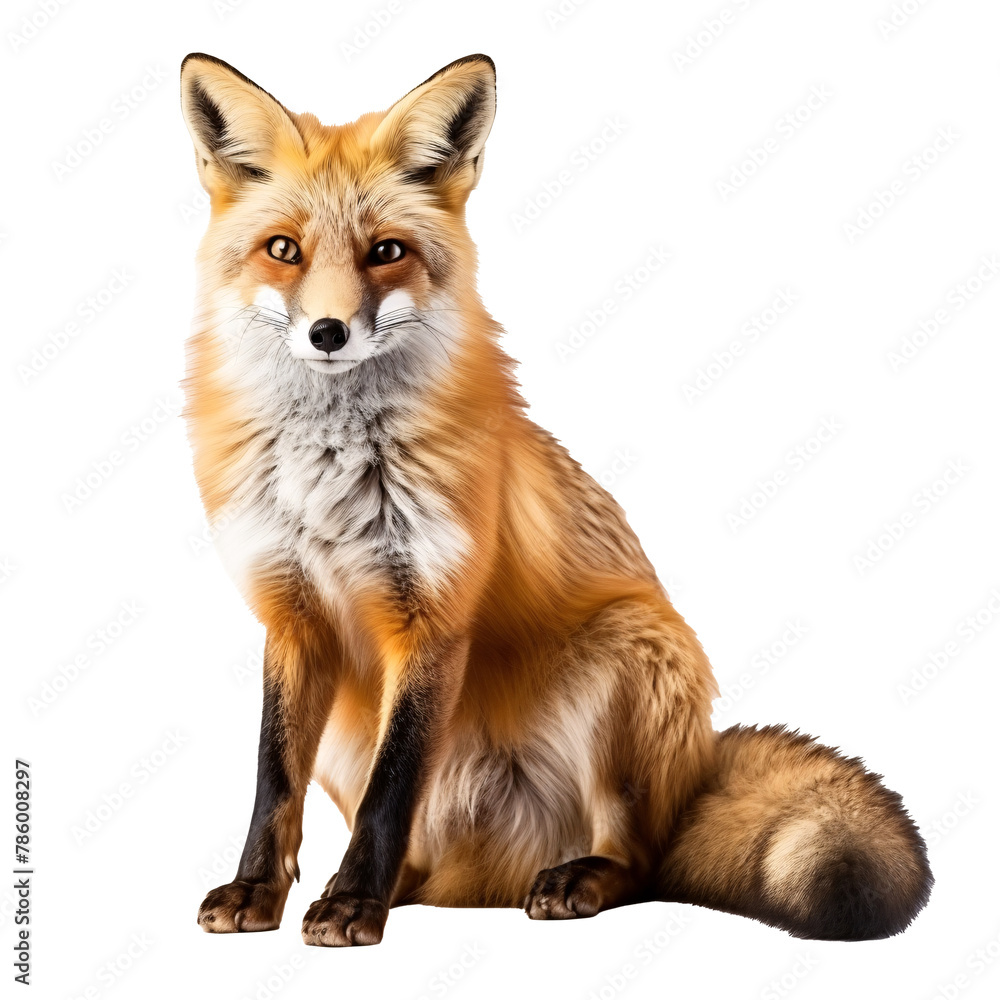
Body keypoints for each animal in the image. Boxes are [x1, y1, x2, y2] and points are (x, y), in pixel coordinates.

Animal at [180, 52, 932, 948]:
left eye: (386, 251)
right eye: (283, 250)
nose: (328, 333)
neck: (329, 471)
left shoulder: (433, 616)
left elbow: (389, 793)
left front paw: (354, 903)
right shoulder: (291, 616)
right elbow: (274, 782)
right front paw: (258, 890)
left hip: (628, 656)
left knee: (641, 860)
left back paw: (574, 877)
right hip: (356, 738)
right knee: (424, 860)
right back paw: (401, 885)